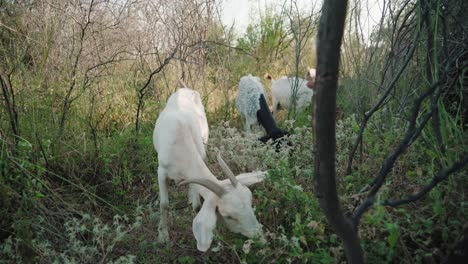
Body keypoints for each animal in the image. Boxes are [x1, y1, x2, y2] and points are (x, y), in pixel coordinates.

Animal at [154, 87, 264, 252]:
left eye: (251, 203)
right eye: (229, 216)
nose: (260, 236)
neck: (180, 144)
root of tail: (185, 88)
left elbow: (197, 205)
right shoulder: (161, 171)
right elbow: (164, 204)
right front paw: (163, 236)